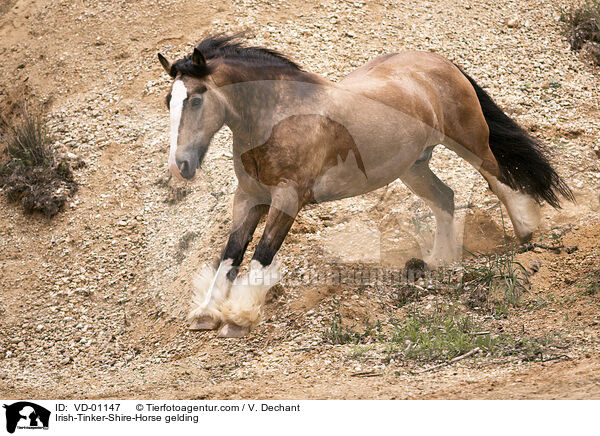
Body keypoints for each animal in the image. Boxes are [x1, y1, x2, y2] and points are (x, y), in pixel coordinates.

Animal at [158, 35, 572, 338]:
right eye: (169, 101)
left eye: (196, 100)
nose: (181, 167)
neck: (279, 118)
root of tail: (442, 63)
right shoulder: (248, 199)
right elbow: (230, 254)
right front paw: (206, 312)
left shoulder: (287, 200)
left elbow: (261, 253)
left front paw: (239, 316)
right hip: (412, 166)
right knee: (446, 198)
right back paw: (440, 259)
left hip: (469, 142)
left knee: (499, 179)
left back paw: (526, 232)